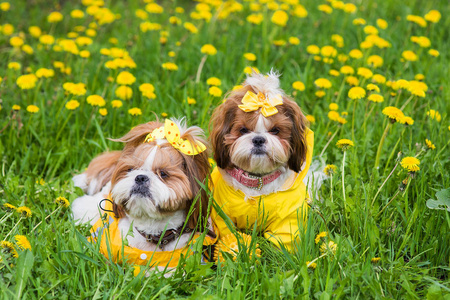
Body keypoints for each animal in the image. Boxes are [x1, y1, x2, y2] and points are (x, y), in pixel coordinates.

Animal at [209, 71, 314, 251]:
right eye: (243, 130)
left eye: (276, 130)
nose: (258, 139)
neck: (256, 181)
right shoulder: (221, 215)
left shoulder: (287, 219)